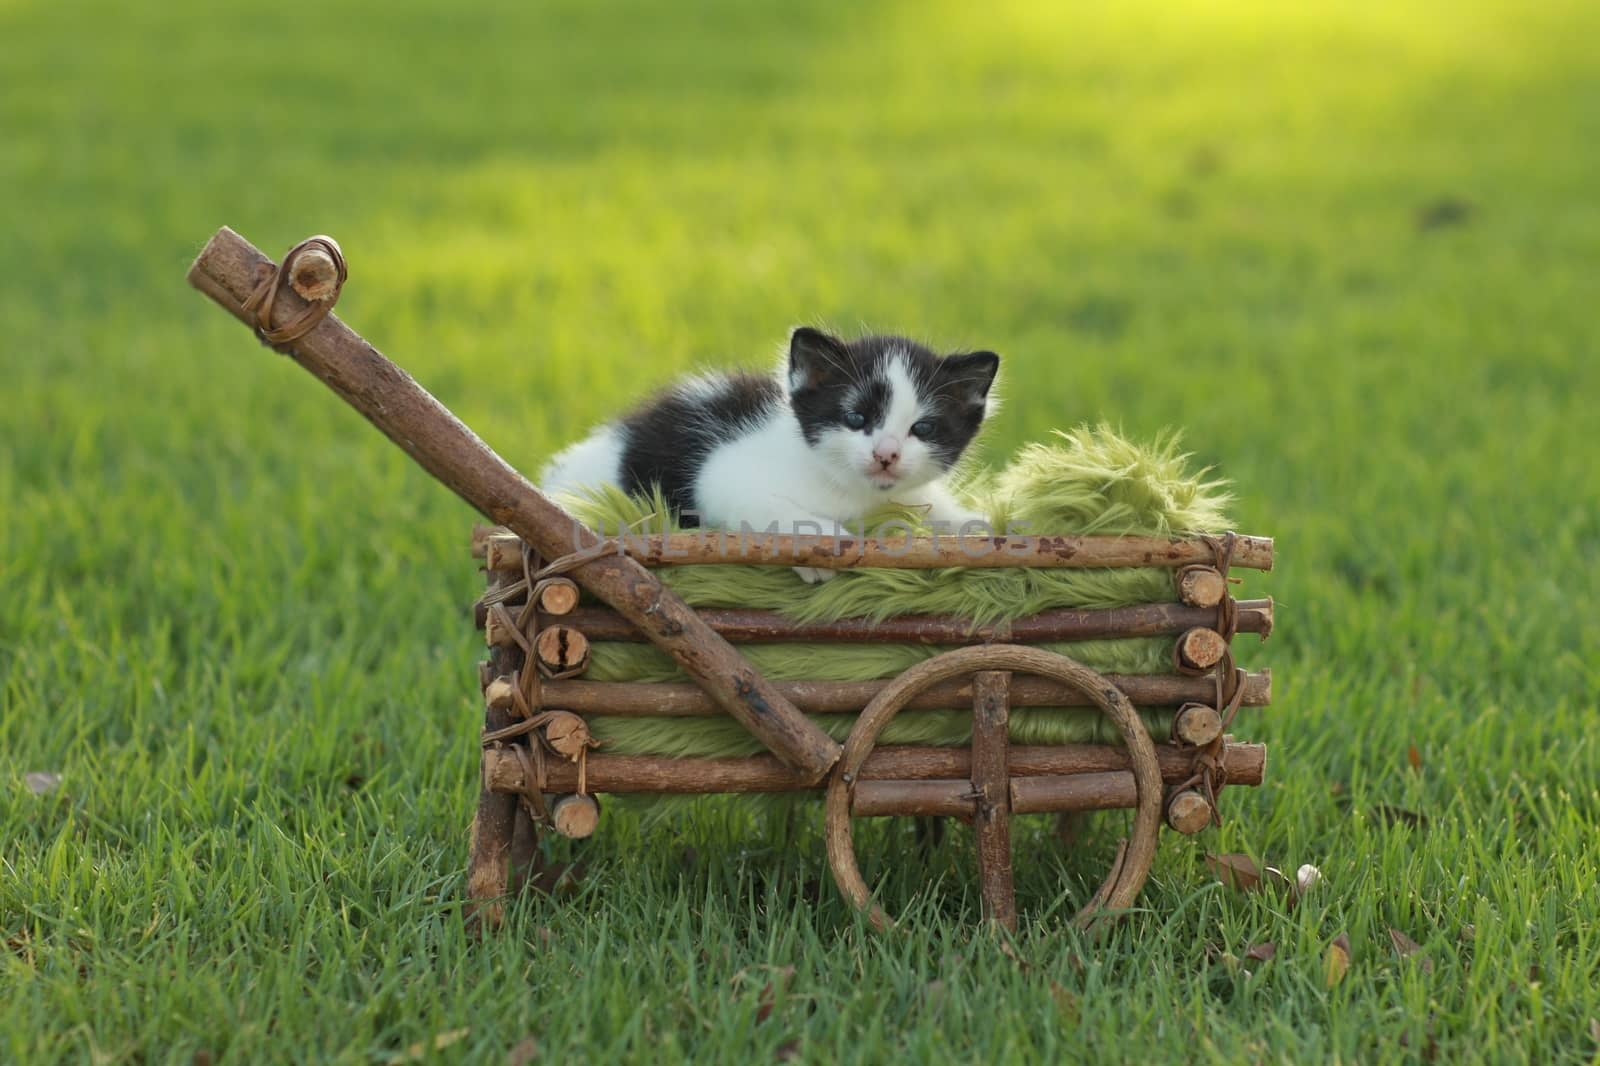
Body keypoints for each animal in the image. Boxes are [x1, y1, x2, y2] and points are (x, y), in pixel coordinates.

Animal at [550, 326, 998, 582]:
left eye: (922, 428)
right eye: (856, 418)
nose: (885, 454)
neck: (850, 491)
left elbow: (933, 506)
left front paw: (977, 525)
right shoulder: (720, 475)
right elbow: (765, 508)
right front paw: (826, 544)